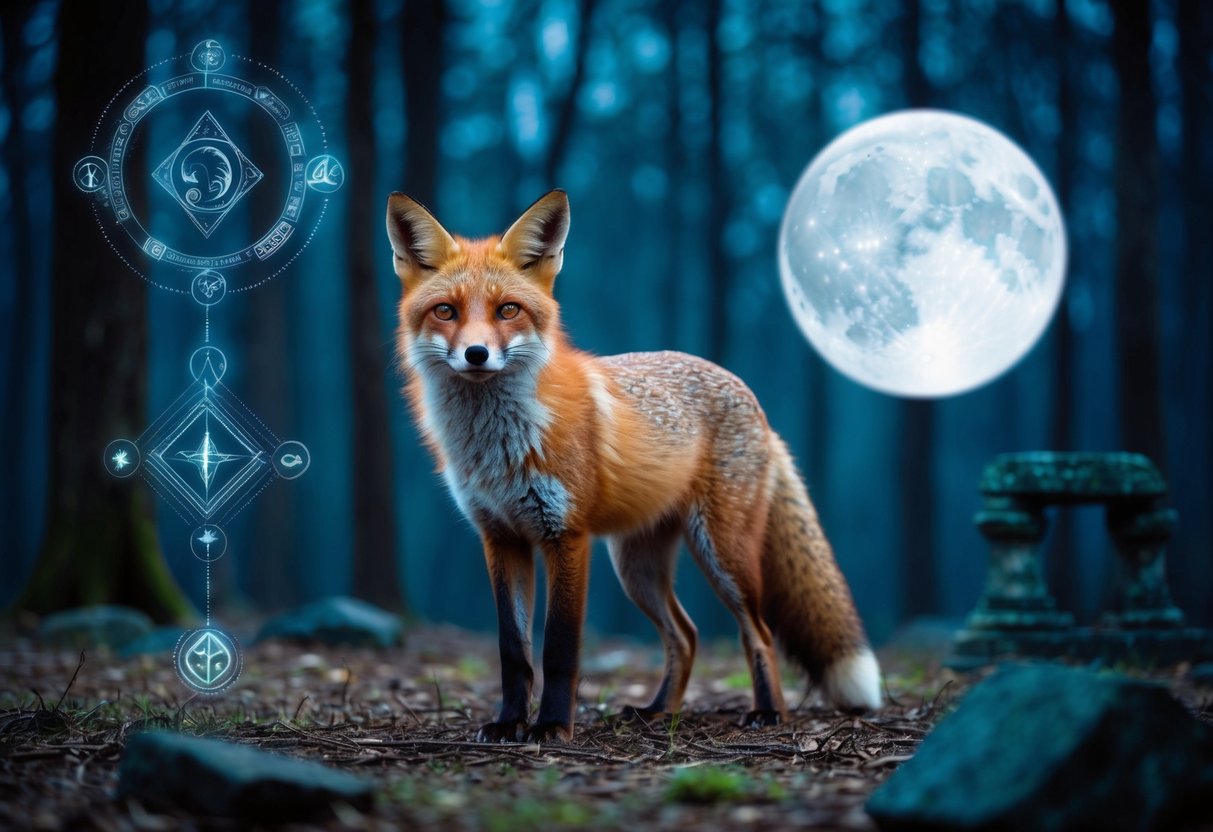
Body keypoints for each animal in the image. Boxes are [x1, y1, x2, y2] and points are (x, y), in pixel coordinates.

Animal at [386, 189, 882, 743]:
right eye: (445, 311)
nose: (476, 354)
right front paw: (509, 722)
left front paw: (552, 726)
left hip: (722, 554)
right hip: (637, 569)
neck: (499, 446)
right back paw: (658, 711)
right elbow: (513, 652)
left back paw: (769, 713)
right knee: (686, 636)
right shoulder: (501, 539)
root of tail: (750, 397)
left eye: (508, 309)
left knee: (759, 632)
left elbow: (558, 650)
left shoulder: (566, 535)